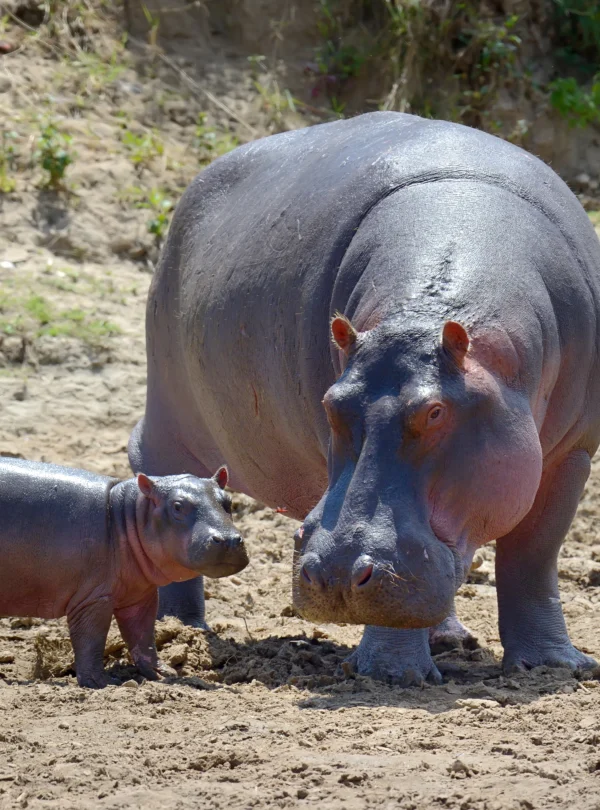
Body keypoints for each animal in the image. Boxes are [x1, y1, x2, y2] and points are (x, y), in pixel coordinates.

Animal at [0, 458, 247, 688]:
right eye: (177, 505)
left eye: (228, 501)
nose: (229, 540)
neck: (127, 515)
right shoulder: (94, 598)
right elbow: (91, 639)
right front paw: (101, 683)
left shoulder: (140, 594)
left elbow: (143, 635)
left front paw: (164, 674)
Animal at [128, 111, 600, 685]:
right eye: (332, 404)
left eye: (436, 411)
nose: (333, 575)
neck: (421, 316)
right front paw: (393, 674)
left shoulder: (573, 452)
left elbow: (533, 555)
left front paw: (556, 667)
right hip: (168, 415)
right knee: (165, 479)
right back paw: (183, 631)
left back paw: (449, 639)